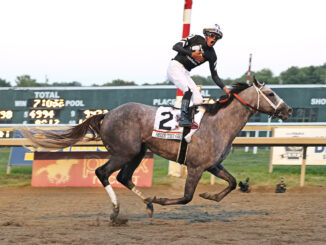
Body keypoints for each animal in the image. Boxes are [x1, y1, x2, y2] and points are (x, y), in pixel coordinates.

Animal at [23, 78, 292, 220]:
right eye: (270, 93)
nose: (288, 110)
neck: (218, 123)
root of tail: (107, 114)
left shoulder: (213, 165)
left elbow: (233, 182)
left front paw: (210, 196)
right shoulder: (196, 167)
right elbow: (186, 197)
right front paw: (162, 199)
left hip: (138, 152)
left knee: (124, 177)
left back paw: (148, 204)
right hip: (125, 152)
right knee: (103, 173)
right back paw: (117, 211)